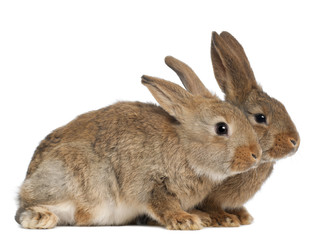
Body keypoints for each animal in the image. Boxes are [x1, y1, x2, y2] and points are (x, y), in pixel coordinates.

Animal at [14, 73, 262, 231]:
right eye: (222, 128)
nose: (256, 154)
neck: (185, 147)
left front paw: (202, 217)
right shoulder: (149, 182)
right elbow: (164, 204)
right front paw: (185, 221)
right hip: (72, 176)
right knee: (24, 209)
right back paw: (41, 218)